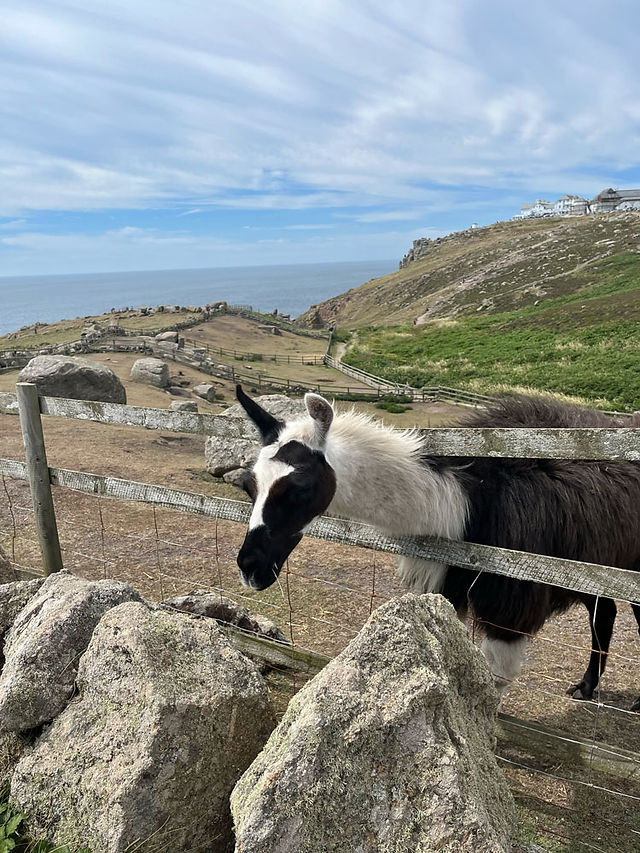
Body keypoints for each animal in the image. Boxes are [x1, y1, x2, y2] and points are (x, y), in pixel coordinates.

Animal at [235, 385, 640, 708]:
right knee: (604, 612)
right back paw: (585, 688)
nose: (250, 566)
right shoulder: (447, 584)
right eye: (248, 485)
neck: (466, 504)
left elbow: (494, 682)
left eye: (297, 488)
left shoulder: (511, 604)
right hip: (592, 565)